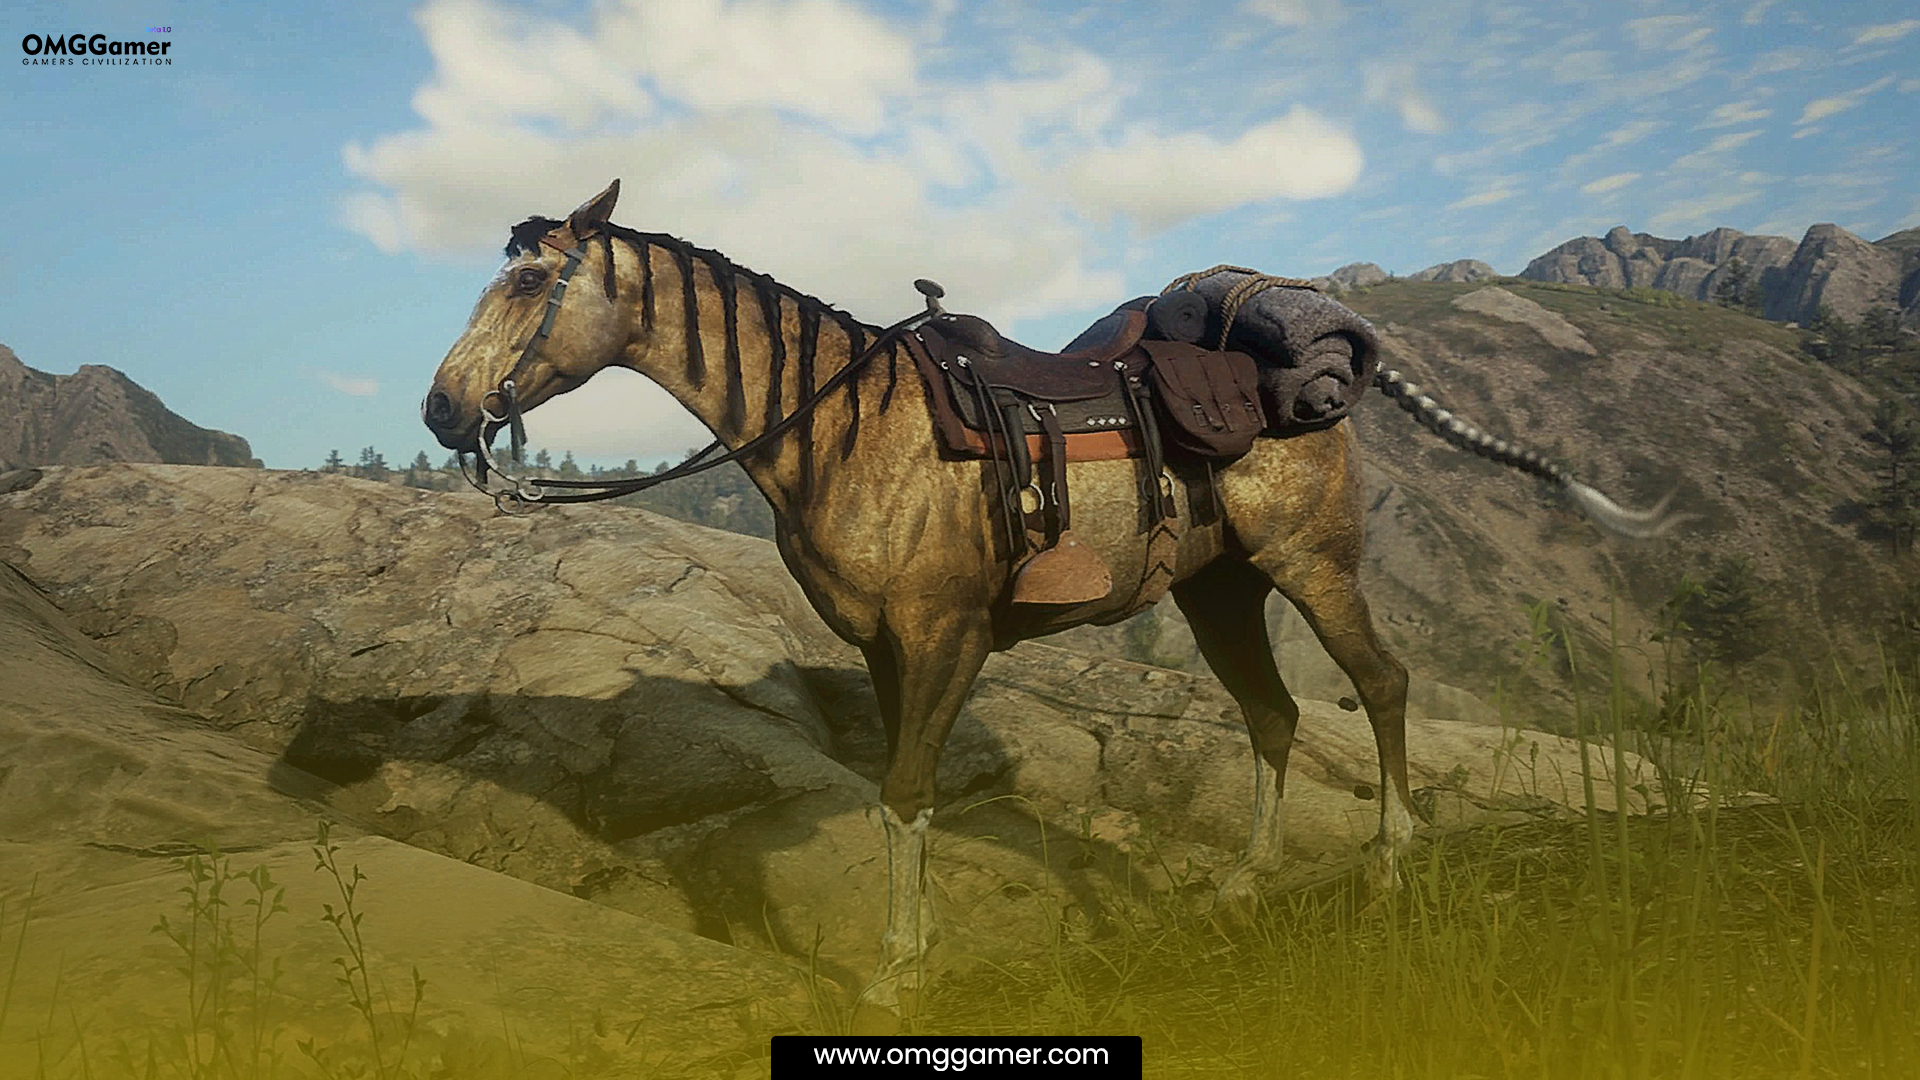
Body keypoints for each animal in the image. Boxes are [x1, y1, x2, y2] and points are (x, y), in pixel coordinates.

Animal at [421, 180, 1685, 1010]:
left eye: (528, 278)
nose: (440, 409)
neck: (843, 428)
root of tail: (1319, 377)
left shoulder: (945, 634)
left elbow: (906, 792)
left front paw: (896, 971)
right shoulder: (885, 649)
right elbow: (905, 798)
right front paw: (917, 948)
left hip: (1314, 568)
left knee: (1379, 681)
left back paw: (1389, 862)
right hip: (1219, 595)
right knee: (1275, 716)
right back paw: (1244, 884)